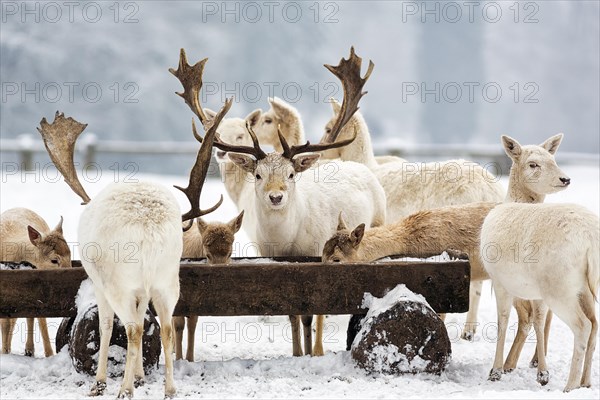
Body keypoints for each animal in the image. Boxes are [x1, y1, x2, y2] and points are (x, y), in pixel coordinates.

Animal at [0, 208, 72, 358]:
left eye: (70, 255)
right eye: (54, 260)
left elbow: (39, 317)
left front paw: (49, 354)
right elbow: (5, 322)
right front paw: (4, 351)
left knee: (29, 316)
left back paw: (29, 349)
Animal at [35, 48, 231, 398]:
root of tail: (148, 232)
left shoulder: (102, 284)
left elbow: (106, 326)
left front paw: (102, 381)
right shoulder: (144, 289)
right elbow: (147, 320)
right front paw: (140, 376)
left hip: (120, 279)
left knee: (134, 328)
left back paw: (122, 388)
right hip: (168, 278)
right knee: (165, 328)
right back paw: (169, 388)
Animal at [175, 212, 245, 362]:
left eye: (230, 254)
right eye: (207, 254)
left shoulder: (196, 299)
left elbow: (192, 325)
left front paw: (190, 359)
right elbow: (178, 324)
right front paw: (178, 358)